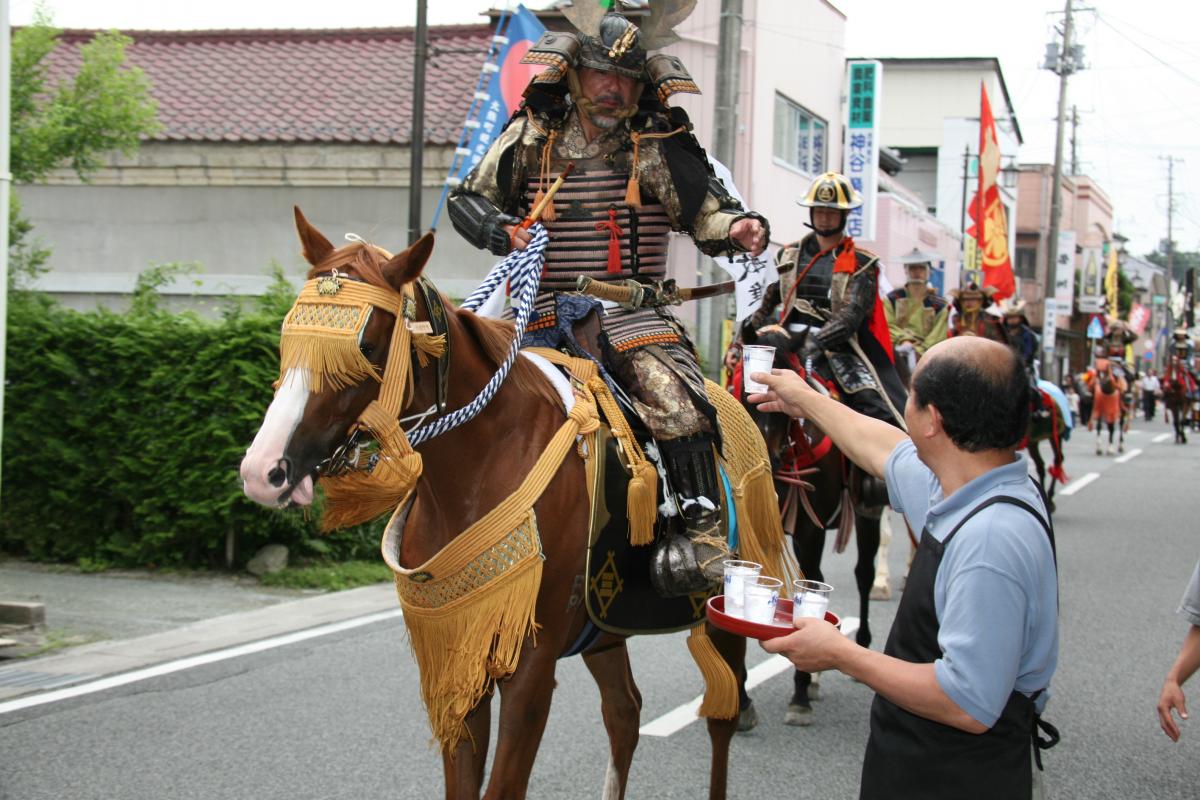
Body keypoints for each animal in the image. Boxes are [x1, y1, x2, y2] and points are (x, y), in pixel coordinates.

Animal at [238, 209, 758, 796]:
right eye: (288, 337)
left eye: (366, 347)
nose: (263, 470)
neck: (476, 469)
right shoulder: (462, 650)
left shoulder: (529, 664)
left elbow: (504, 784)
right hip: (604, 624)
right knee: (624, 712)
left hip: (727, 602)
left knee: (722, 714)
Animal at [729, 323, 883, 724]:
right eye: (742, 391)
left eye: (784, 387)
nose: (767, 460)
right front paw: (742, 699)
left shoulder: (809, 531)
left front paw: (798, 692)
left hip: (867, 512)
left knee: (862, 574)